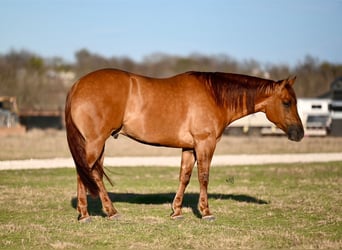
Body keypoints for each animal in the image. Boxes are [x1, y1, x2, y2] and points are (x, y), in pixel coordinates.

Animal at [65, 68, 304, 221]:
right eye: (286, 102)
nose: (299, 133)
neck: (214, 95)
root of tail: (77, 85)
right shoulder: (205, 143)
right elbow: (204, 176)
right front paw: (206, 212)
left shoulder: (189, 147)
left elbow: (185, 177)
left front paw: (177, 211)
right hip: (95, 143)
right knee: (86, 173)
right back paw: (102, 213)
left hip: (97, 145)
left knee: (88, 173)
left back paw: (92, 213)